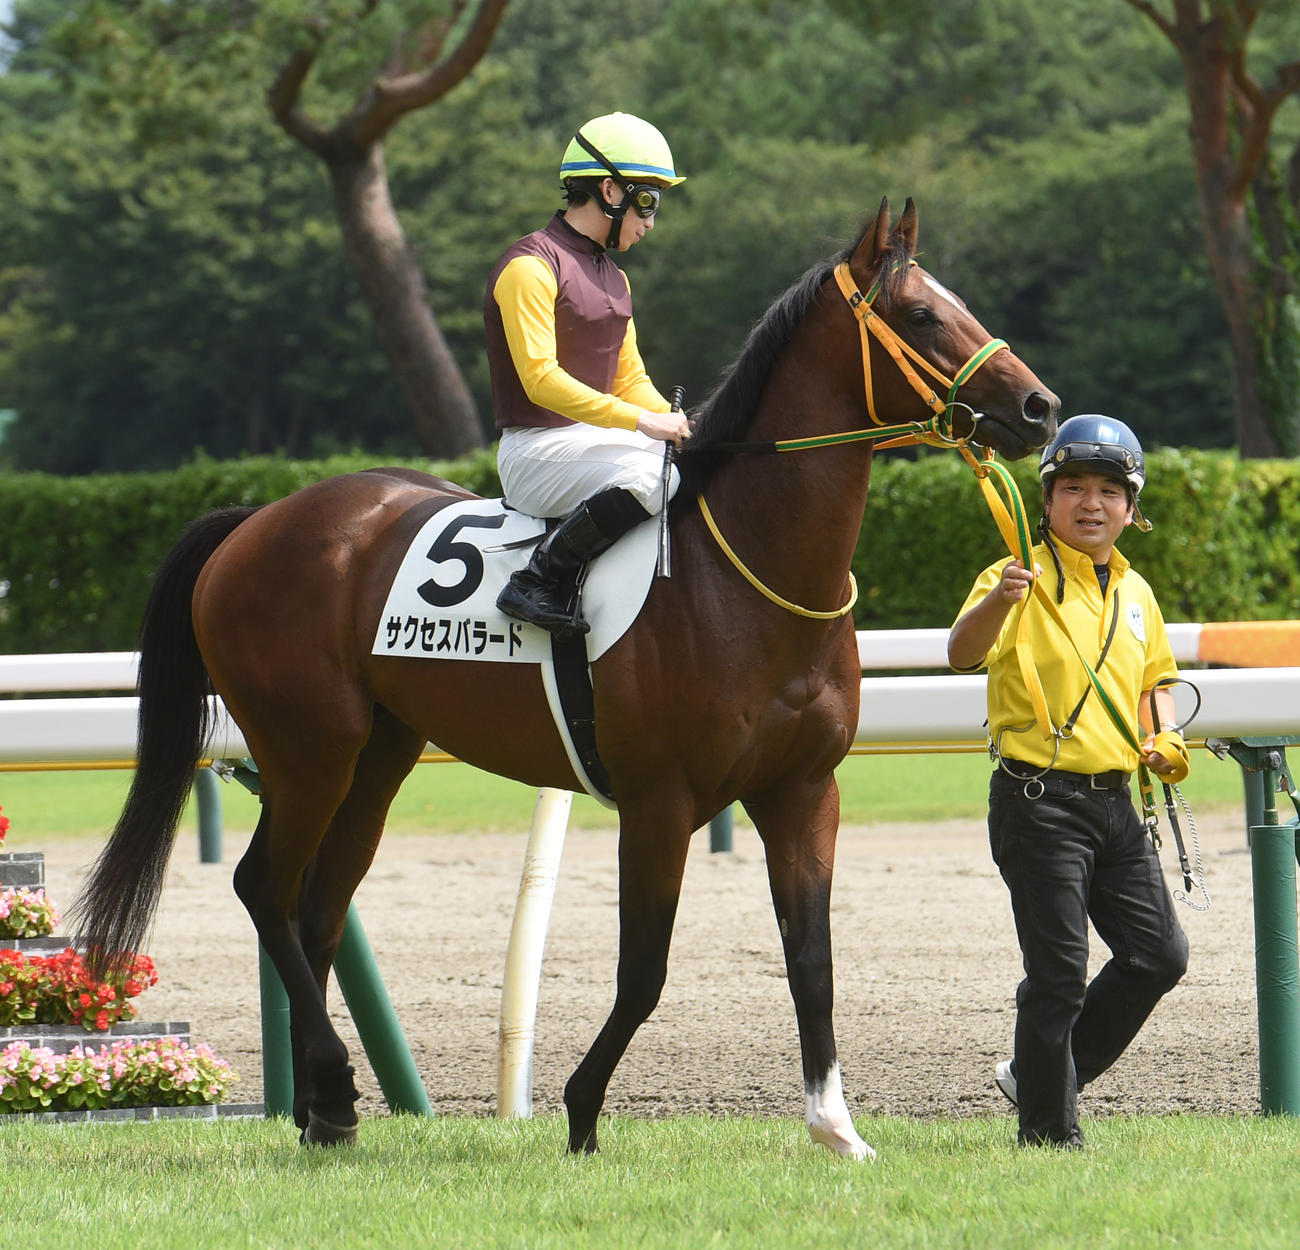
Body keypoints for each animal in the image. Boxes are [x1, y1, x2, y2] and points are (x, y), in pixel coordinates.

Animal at [74, 198, 1059, 1159]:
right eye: (922, 313)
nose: (1042, 406)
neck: (744, 574)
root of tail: (255, 520)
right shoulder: (659, 800)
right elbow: (645, 971)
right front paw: (583, 1111)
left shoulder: (804, 790)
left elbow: (811, 960)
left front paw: (835, 1127)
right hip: (307, 749)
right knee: (264, 891)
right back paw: (335, 1091)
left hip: (377, 755)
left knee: (314, 908)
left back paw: (323, 1111)